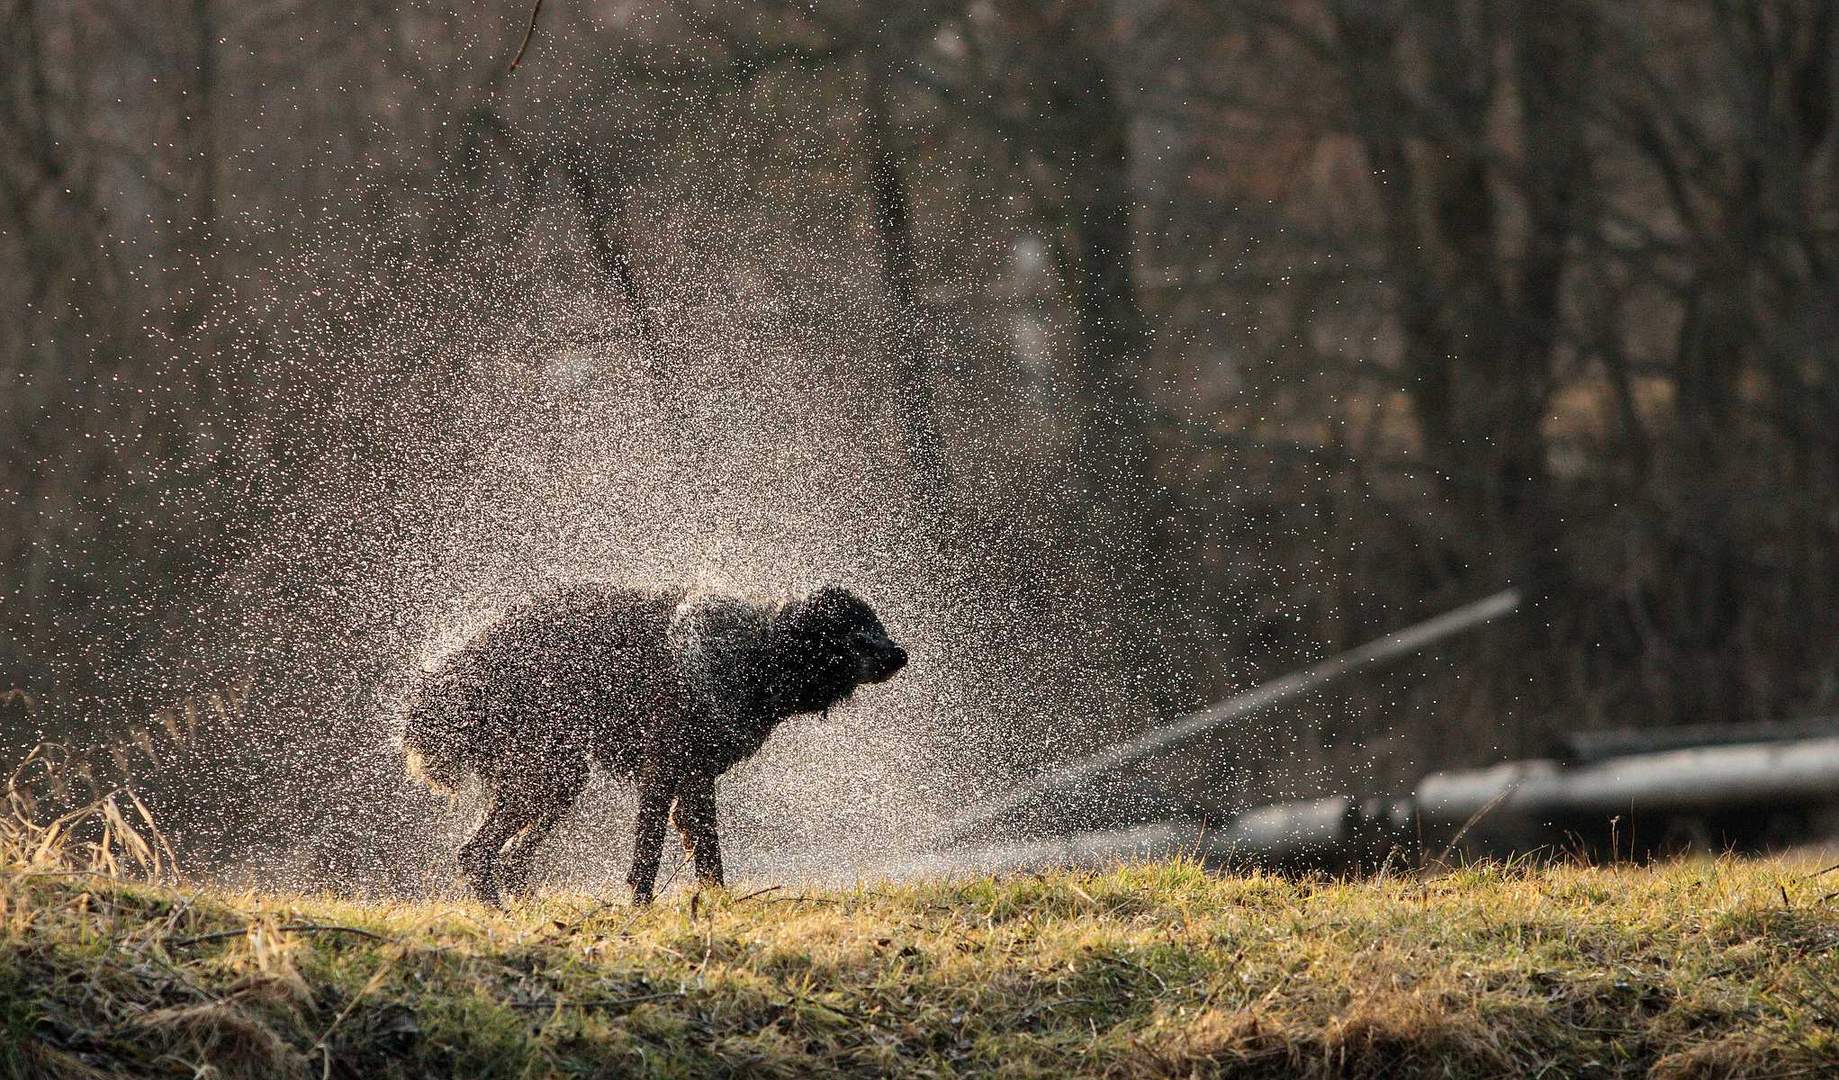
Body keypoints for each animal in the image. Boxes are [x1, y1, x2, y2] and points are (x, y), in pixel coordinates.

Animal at [400, 581, 904, 905]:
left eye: (876, 623)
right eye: (857, 632)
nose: (902, 653)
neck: (757, 657)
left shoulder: (696, 779)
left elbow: (708, 854)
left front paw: (717, 907)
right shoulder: (661, 775)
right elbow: (649, 855)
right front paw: (639, 912)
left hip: (560, 779)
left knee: (506, 862)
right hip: (549, 774)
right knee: (476, 855)